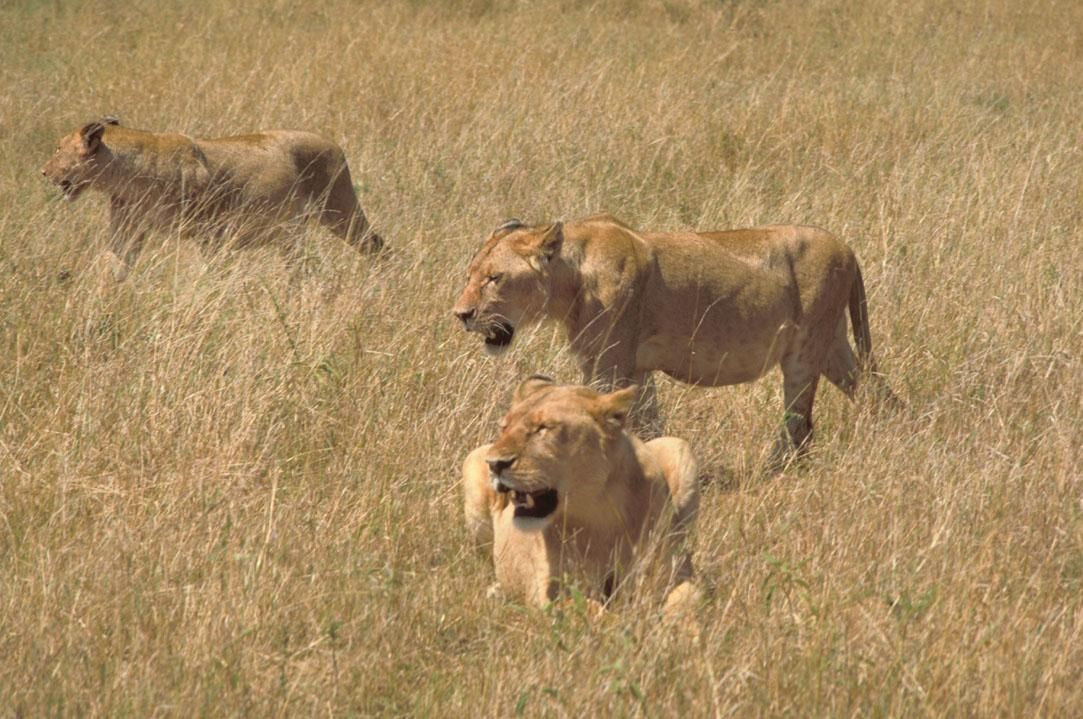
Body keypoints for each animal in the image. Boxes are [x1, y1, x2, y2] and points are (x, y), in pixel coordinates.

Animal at [41, 116, 385, 276]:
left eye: (57, 149)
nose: (43, 172)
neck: (127, 176)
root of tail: (333, 143)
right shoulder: (127, 228)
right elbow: (112, 265)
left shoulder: (211, 233)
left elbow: (208, 273)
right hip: (292, 234)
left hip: (339, 210)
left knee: (376, 245)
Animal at [452, 214, 892, 461]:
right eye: (470, 275)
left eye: (495, 278)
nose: (461, 315)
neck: (571, 277)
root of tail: (847, 249)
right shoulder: (637, 369)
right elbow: (649, 424)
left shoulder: (610, 364)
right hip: (833, 346)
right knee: (877, 394)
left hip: (805, 351)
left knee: (799, 423)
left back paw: (776, 469)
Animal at [459, 376, 697, 619]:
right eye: (504, 428)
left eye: (543, 428)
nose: (495, 464)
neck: (599, 511)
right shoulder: (545, 594)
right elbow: (590, 609)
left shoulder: (674, 574)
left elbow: (689, 600)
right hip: (473, 463)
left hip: (677, 447)